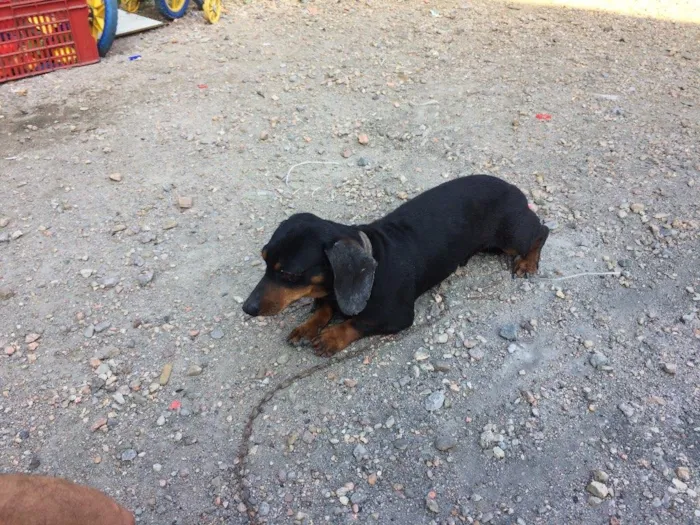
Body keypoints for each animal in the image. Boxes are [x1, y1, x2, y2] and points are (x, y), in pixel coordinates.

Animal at [243, 175, 548, 356]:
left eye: (288, 273)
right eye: (264, 259)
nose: (247, 308)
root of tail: (514, 189)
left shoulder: (398, 316)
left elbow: (359, 321)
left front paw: (332, 336)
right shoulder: (331, 292)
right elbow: (325, 308)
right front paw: (307, 326)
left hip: (510, 237)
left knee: (541, 231)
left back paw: (528, 262)